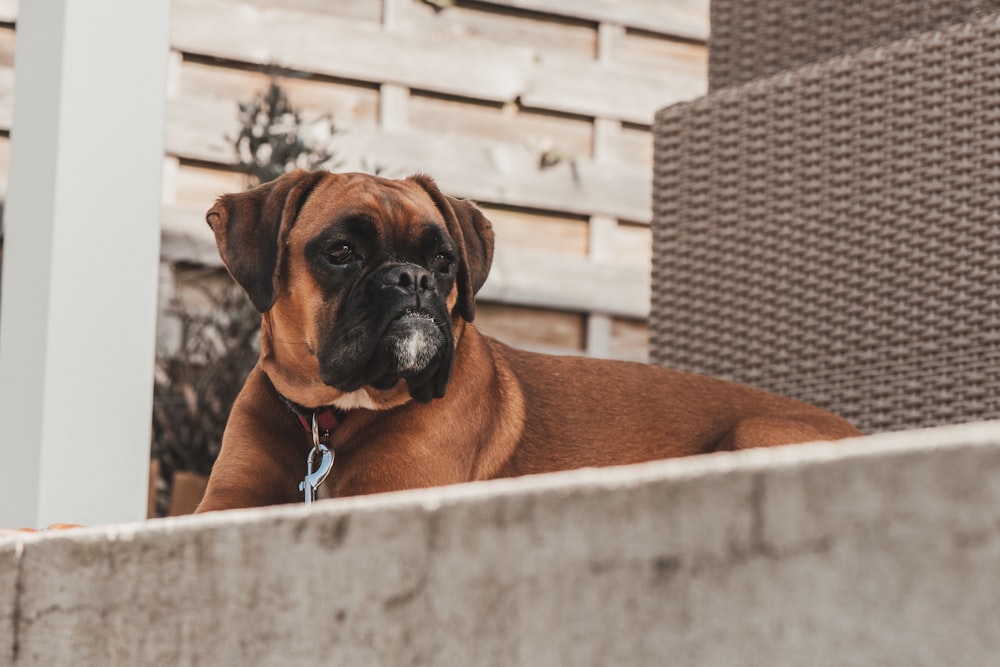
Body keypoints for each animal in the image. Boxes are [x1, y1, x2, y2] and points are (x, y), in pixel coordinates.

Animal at [195, 168, 860, 512]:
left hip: (754, 432)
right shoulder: (222, 508)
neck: (329, 420)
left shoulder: (395, 494)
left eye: (443, 261)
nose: (413, 280)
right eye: (340, 251)